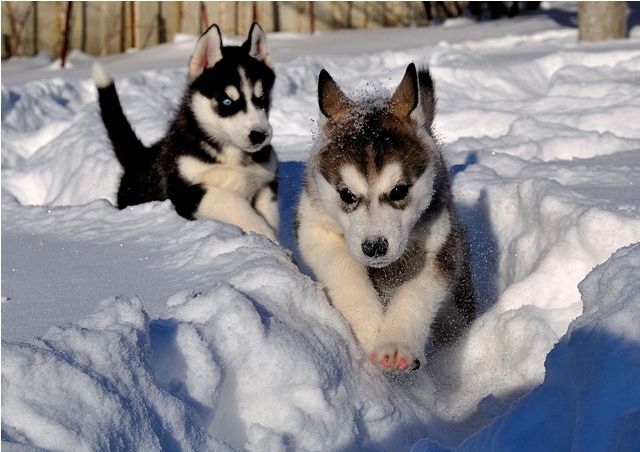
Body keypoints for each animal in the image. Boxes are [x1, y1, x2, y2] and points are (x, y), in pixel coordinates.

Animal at [94, 23, 278, 240]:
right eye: (226, 101)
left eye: (262, 98)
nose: (259, 135)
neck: (229, 153)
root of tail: (140, 157)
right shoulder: (185, 192)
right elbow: (230, 200)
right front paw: (264, 233)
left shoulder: (266, 182)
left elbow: (269, 212)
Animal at [296, 63, 476, 370]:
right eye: (346, 194)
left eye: (399, 190)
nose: (374, 247)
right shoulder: (316, 229)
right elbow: (344, 270)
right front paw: (370, 329)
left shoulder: (439, 241)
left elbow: (417, 291)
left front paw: (396, 345)